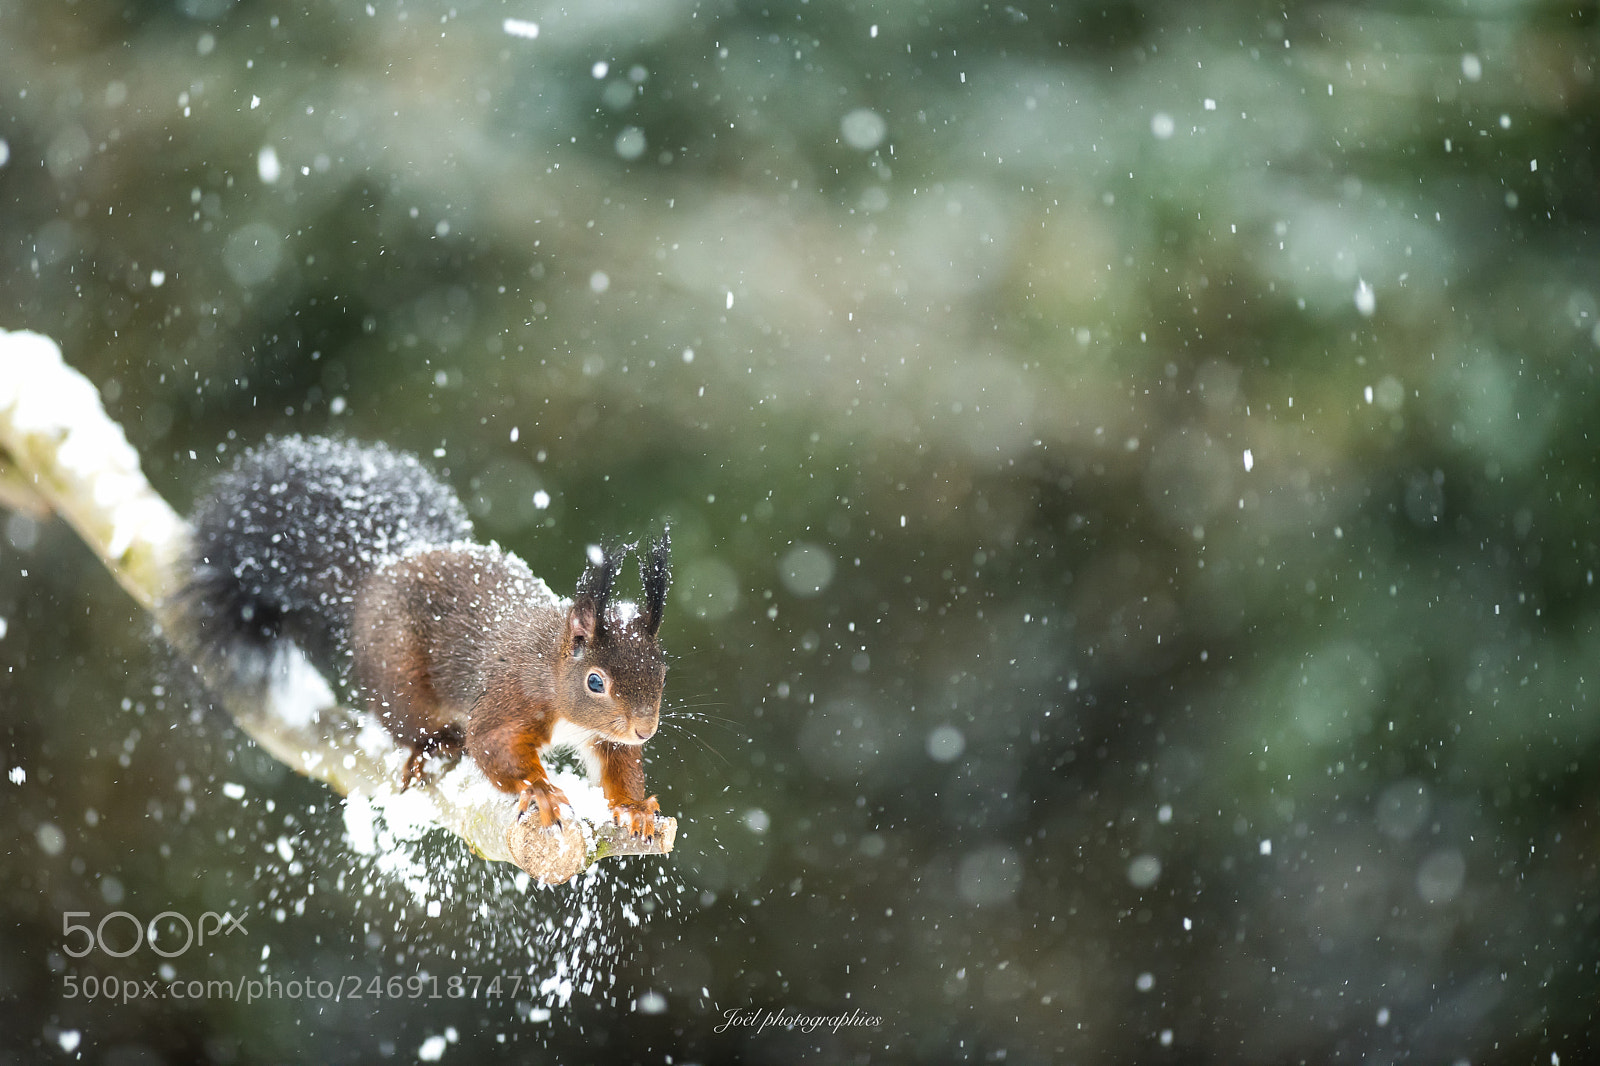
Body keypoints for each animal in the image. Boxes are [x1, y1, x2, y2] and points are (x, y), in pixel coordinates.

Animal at [177, 435, 670, 838]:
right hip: (399, 678)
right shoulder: (509, 698)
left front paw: (633, 808)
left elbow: (619, 767)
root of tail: (378, 574)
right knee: (405, 724)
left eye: (663, 672)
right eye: (595, 681)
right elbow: (491, 744)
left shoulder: (606, 736)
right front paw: (541, 790)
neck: (550, 665)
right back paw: (432, 745)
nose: (645, 730)